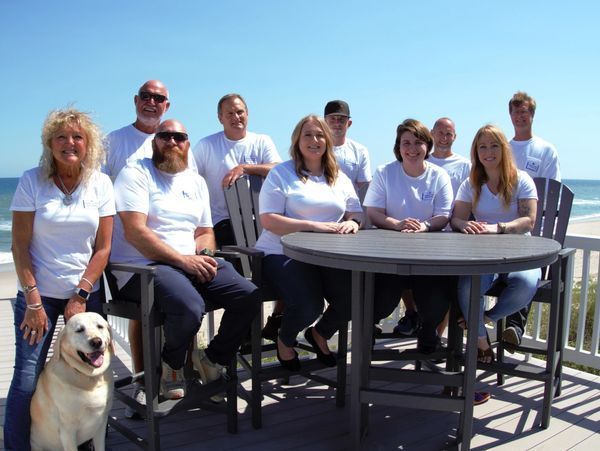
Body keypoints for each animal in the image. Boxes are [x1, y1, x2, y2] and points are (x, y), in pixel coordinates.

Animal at [30, 314, 115, 451]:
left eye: (100, 326)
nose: (96, 342)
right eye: (79, 330)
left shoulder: (101, 423)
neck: (90, 377)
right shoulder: (67, 431)